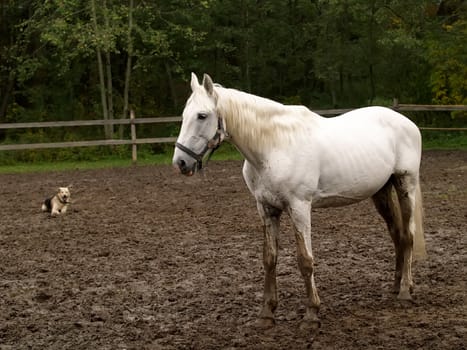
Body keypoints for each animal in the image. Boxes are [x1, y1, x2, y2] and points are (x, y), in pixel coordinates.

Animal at [173, 72, 428, 330]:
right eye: (184, 115)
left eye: (202, 115)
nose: (181, 162)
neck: (273, 146)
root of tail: (407, 123)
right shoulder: (266, 209)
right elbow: (269, 258)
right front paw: (266, 314)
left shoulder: (299, 207)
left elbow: (305, 260)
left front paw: (311, 314)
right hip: (382, 192)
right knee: (396, 235)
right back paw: (396, 286)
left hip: (405, 184)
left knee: (408, 236)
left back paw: (405, 292)